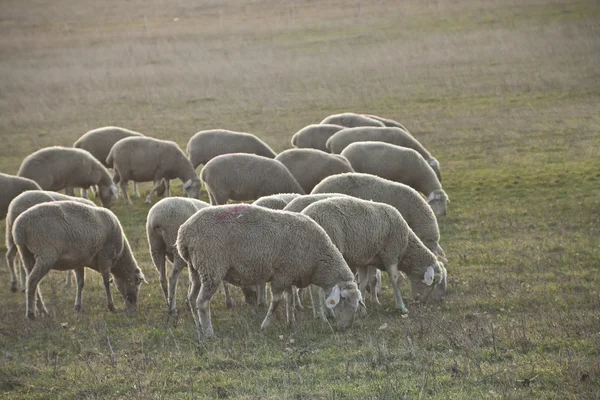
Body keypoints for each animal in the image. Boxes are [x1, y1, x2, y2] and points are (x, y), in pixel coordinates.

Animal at [12, 202, 146, 318]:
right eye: (135, 283)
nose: (133, 307)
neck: (119, 259)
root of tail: (20, 227)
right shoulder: (105, 256)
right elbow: (106, 282)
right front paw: (111, 307)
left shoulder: (79, 261)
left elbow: (80, 283)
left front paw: (78, 307)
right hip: (46, 254)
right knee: (32, 281)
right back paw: (31, 313)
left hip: (26, 254)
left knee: (33, 282)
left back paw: (42, 310)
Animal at [177, 205, 366, 340]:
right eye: (343, 299)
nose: (346, 328)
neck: (318, 259)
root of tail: (184, 233)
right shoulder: (280, 276)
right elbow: (276, 302)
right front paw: (265, 325)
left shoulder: (289, 274)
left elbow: (290, 299)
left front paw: (291, 323)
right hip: (212, 267)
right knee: (202, 302)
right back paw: (209, 333)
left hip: (196, 269)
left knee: (192, 298)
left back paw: (199, 329)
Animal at [304, 197, 446, 316]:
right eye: (433, 281)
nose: (422, 302)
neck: (406, 247)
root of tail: (308, 213)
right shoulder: (390, 253)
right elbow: (395, 279)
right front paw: (401, 306)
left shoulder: (365, 261)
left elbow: (363, 283)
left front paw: (363, 308)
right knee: (318, 288)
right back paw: (325, 314)